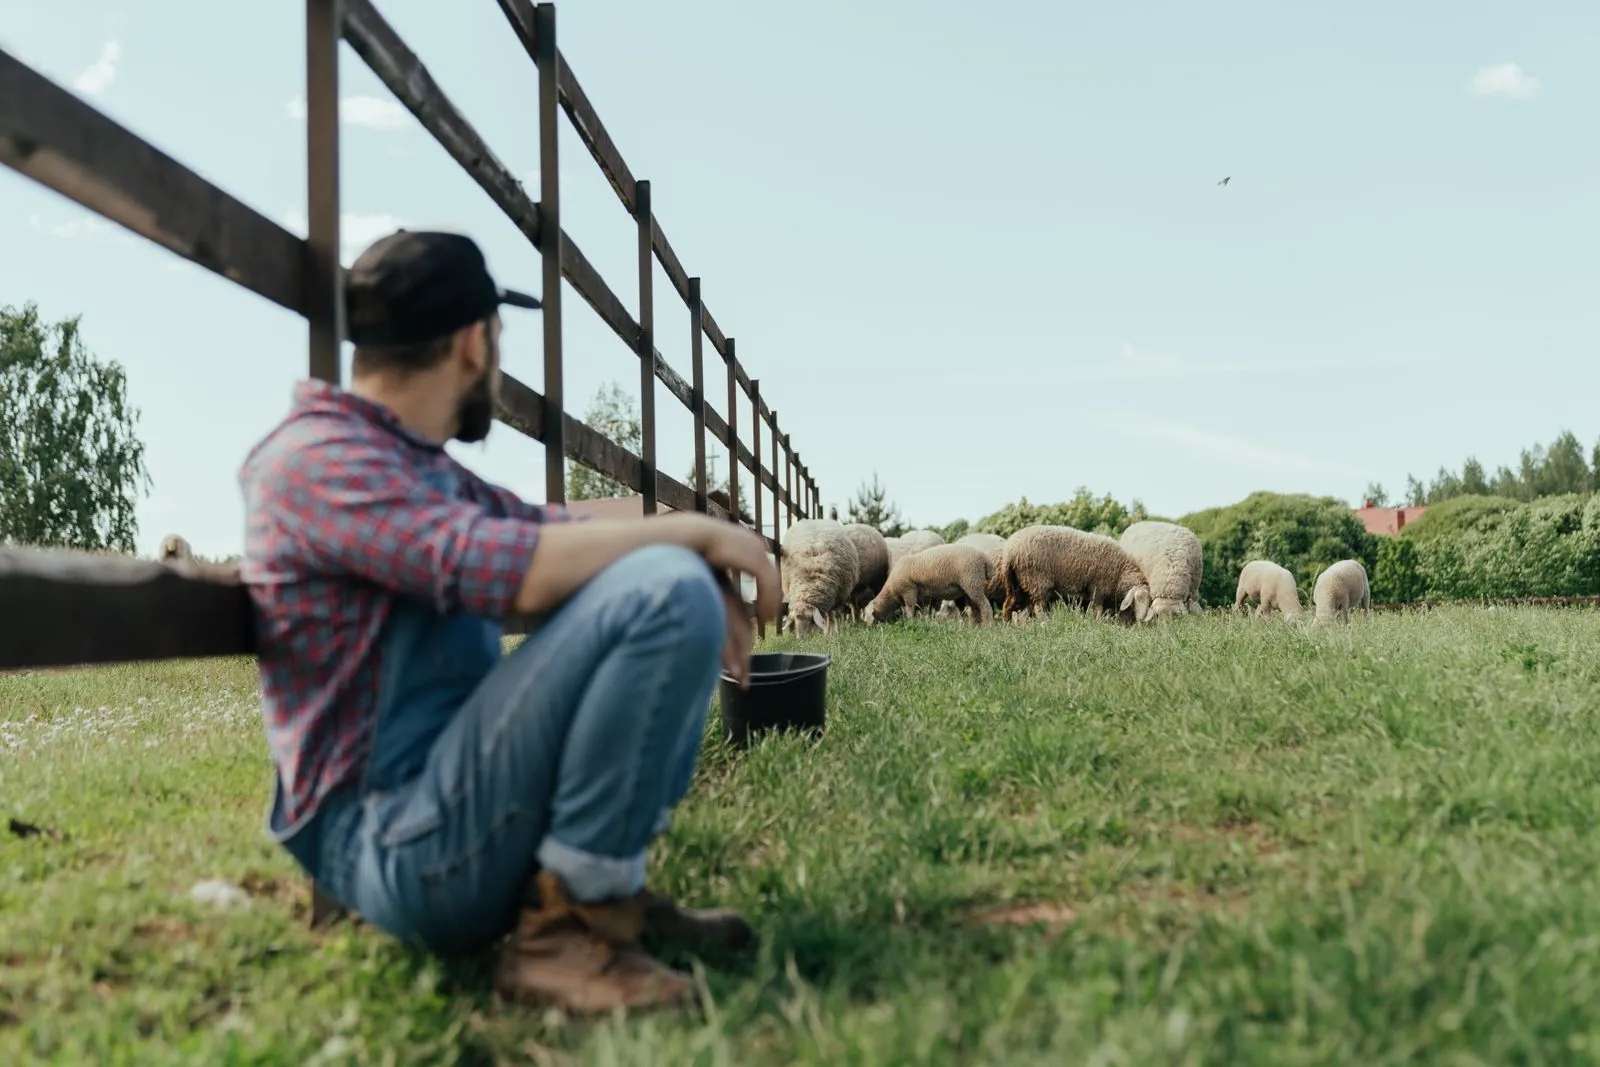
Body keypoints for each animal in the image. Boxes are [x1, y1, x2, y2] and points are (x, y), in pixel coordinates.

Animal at [862, 544, 993, 627]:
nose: (868, 628)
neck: (891, 592)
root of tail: (986, 560)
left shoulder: (909, 590)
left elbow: (910, 609)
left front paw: (910, 622)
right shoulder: (921, 597)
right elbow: (922, 611)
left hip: (972, 581)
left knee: (985, 605)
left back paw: (988, 626)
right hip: (969, 586)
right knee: (975, 607)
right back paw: (975, 627)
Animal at [995, 524, 1151, 624]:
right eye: (1138, 599)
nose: (1141, 622)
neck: (1121, 571)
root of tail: (1010, 552)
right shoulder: (1098, 588)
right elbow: (1097, 610)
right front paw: (1098, 624)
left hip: (1017, 585)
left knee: (1009, 606)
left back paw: (1009, 626)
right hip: (1037, 580)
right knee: (1038, 607)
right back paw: (1044, 623)